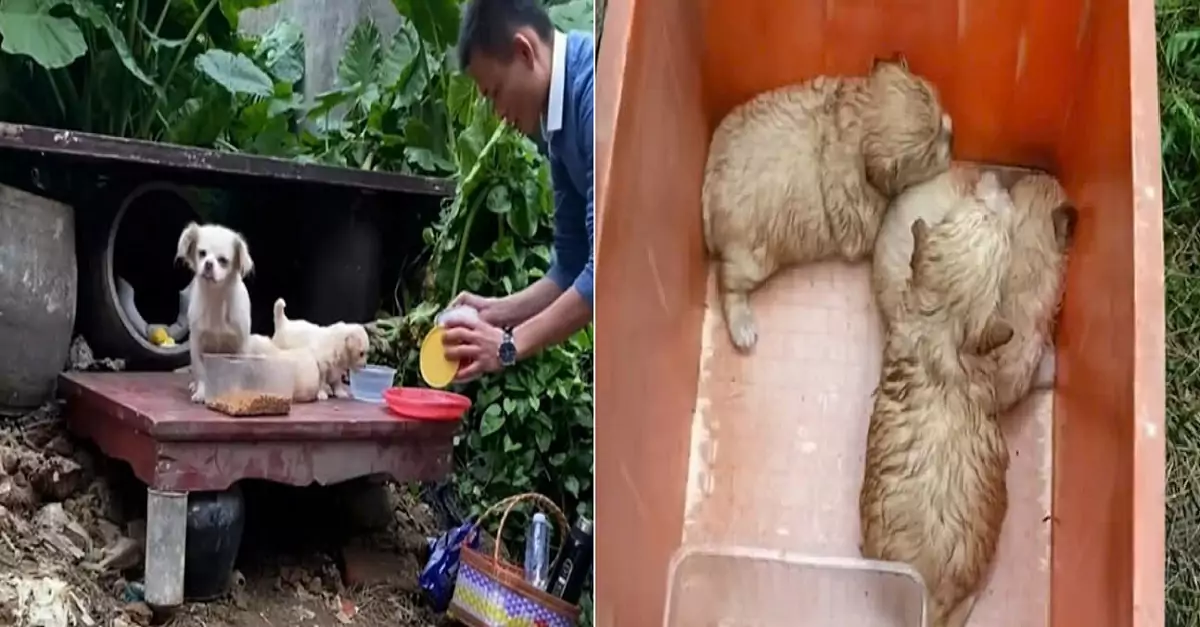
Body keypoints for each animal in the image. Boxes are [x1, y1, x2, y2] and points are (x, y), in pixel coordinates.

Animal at [175, 222, 253, 403]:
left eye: (223, 260)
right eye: (202, 253)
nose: (208, 264)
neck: (216, 298)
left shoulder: (241, 346)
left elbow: (236, 374)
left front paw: (234, 393)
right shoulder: (197, 343)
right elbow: (202, 373)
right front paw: (202, 393)